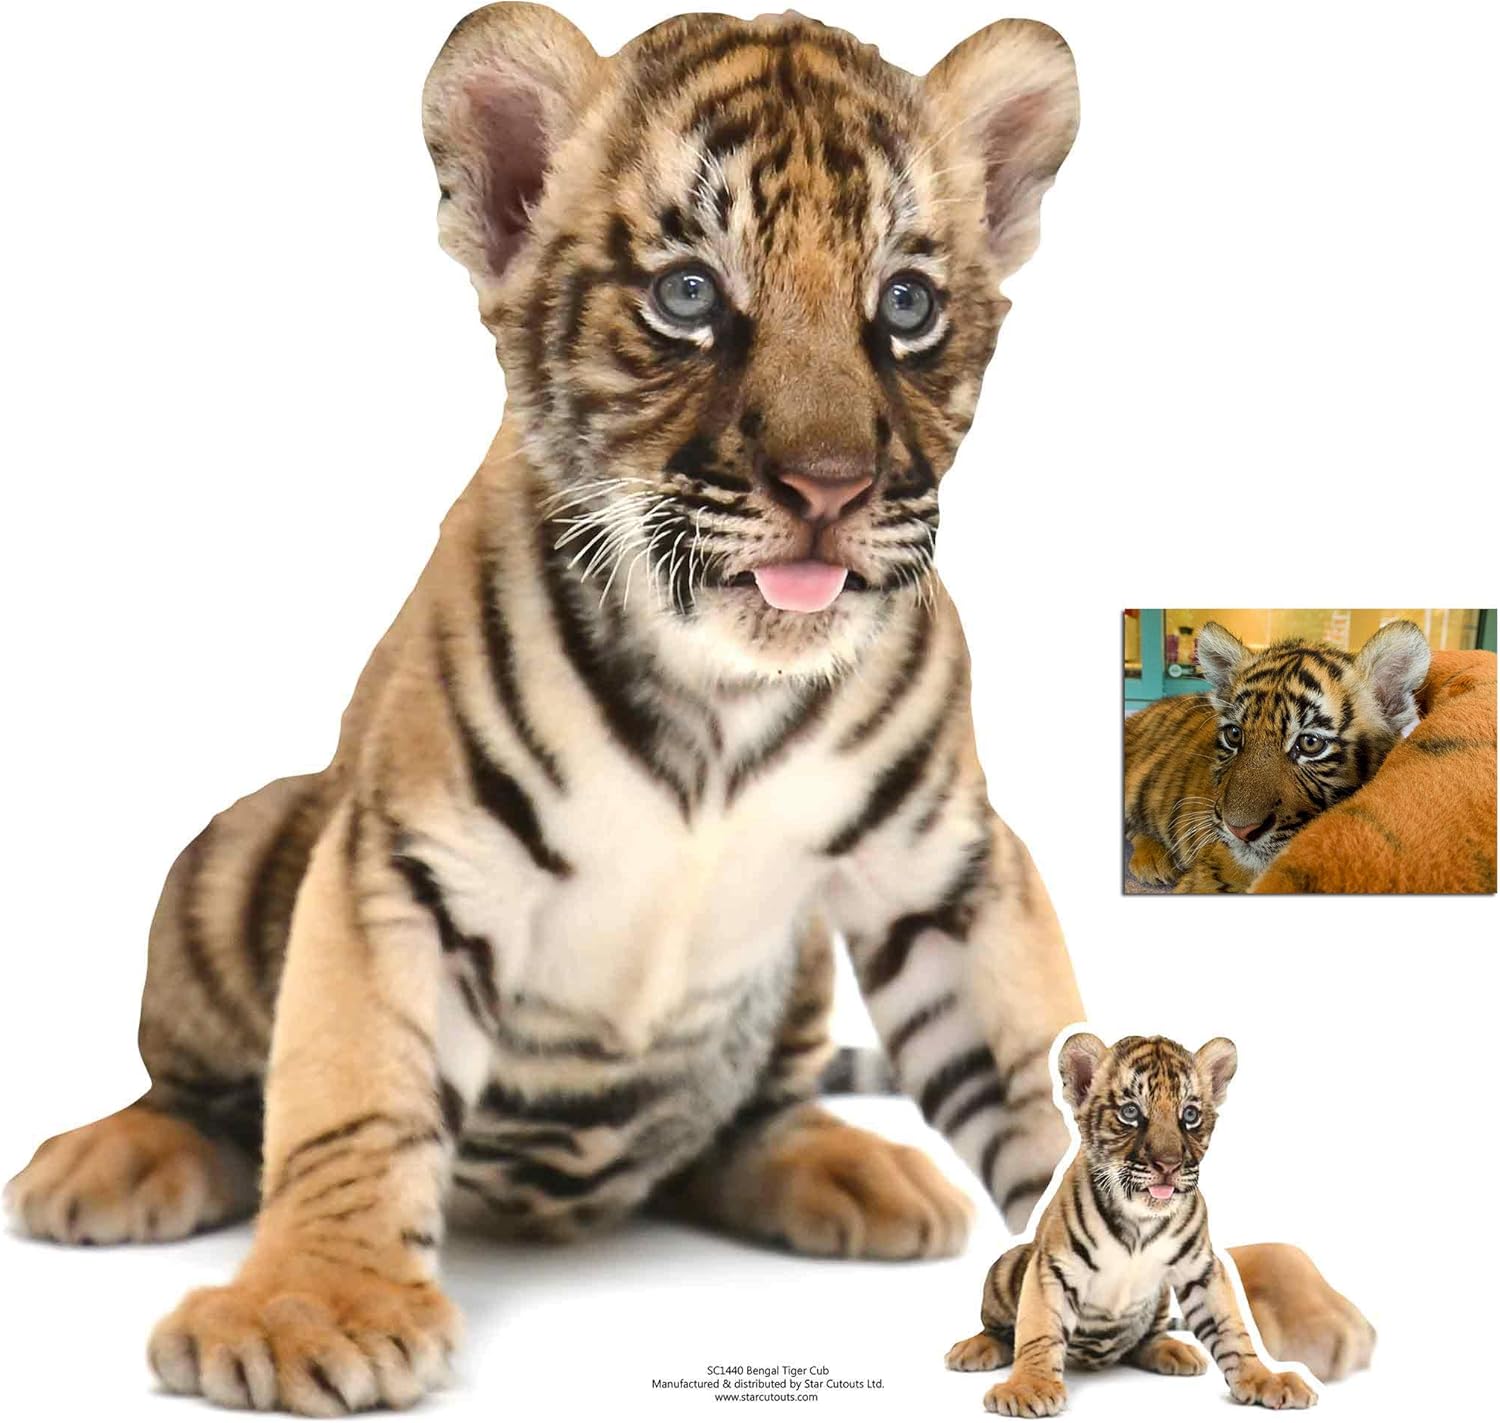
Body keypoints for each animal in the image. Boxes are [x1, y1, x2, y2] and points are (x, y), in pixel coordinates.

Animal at [945, 1033, 1332, 1416]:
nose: (1168, 1164)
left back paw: (1173, 1350)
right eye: (1130, 1112)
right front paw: (1028, 1387)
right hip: (1008, 1264)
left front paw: (1266, 1378)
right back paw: (974, 1349)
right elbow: (1039, 1328)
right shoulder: (1054, 1266)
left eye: (1189, 1114)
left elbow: (1232, 1330)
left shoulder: (1202, 1270)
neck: (1141, 1220)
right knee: (999, 1330)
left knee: (1146, 1339)